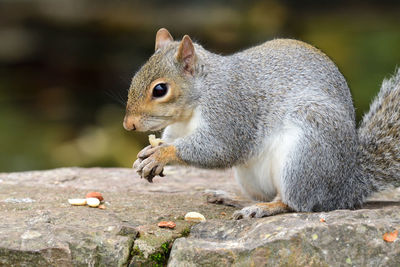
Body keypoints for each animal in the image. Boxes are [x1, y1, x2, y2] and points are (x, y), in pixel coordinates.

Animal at [123, 27, 400, 220]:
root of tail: (346, 186)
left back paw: (263, 208)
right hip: (252, 177)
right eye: (134, 77)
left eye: (160, 89)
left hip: (304, 157)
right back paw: (233, 198)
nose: (128, 125)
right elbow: (170, 137)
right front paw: (146, 155)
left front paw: (161, 154)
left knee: (296, 203)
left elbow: (218, 149)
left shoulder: (230, 111)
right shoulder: (178, 127)